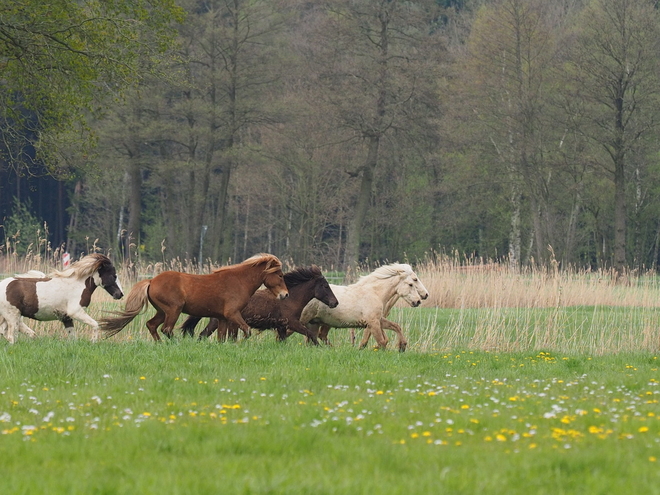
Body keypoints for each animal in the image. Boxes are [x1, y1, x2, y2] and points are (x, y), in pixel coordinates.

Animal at [100, 254, 286, 342]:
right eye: (280, 275)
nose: (285, 294)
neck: (239, 281)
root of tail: (152, 280)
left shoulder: (223, 318)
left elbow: (222, 337)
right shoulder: (233, 314)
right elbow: (246, 331)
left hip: (162, 311)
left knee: (152, 325)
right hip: (173, 310)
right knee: (166, 329)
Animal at [180, 268, 340, 344]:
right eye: (325, 286)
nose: (335, 303)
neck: (290, 299)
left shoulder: (281, 326)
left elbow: (282, 341)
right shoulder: (292, 323)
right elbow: (311, 334)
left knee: (202, 335)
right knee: (203, 335)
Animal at [300, 264, 428, 352]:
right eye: (412, 283)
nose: (418, 300)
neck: (375, 293)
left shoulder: (378, 320)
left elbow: (396, 327)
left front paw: (402, 346)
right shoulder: (373, 322)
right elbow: (381, 341)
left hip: (316, 322)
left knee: (314, 337)